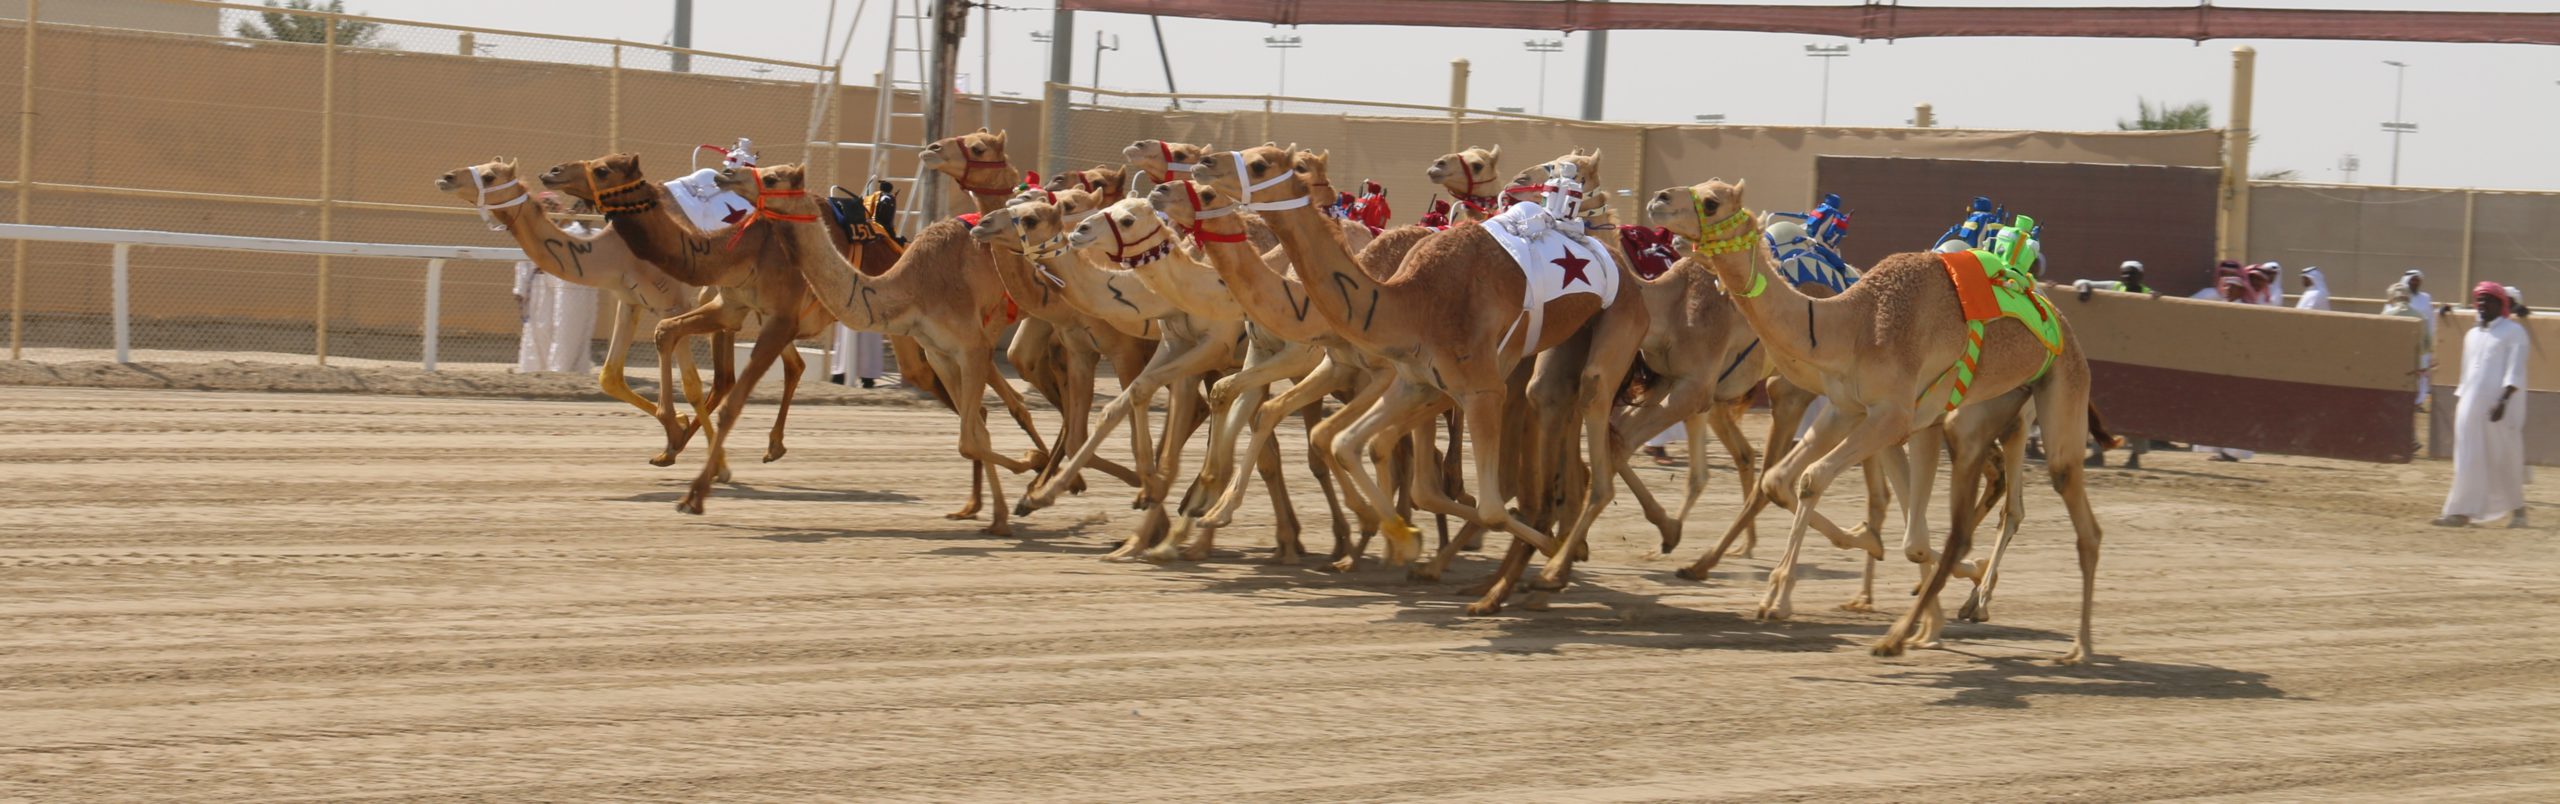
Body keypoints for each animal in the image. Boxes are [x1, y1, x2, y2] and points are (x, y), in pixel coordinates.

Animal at [1648, 179, 2109, 660]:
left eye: (1712, 202)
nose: (1659, 200)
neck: (1852, 323)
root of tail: (2060, 320)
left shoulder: (1888, 415)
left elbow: (1816, 479)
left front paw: (1782, 593)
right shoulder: (1851, 410)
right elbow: (1787, 481)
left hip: (2054, 395)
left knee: (2073, 515)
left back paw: (2076, 644)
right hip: (1982, 413)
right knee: (1989, 507)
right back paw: (1960, 602)